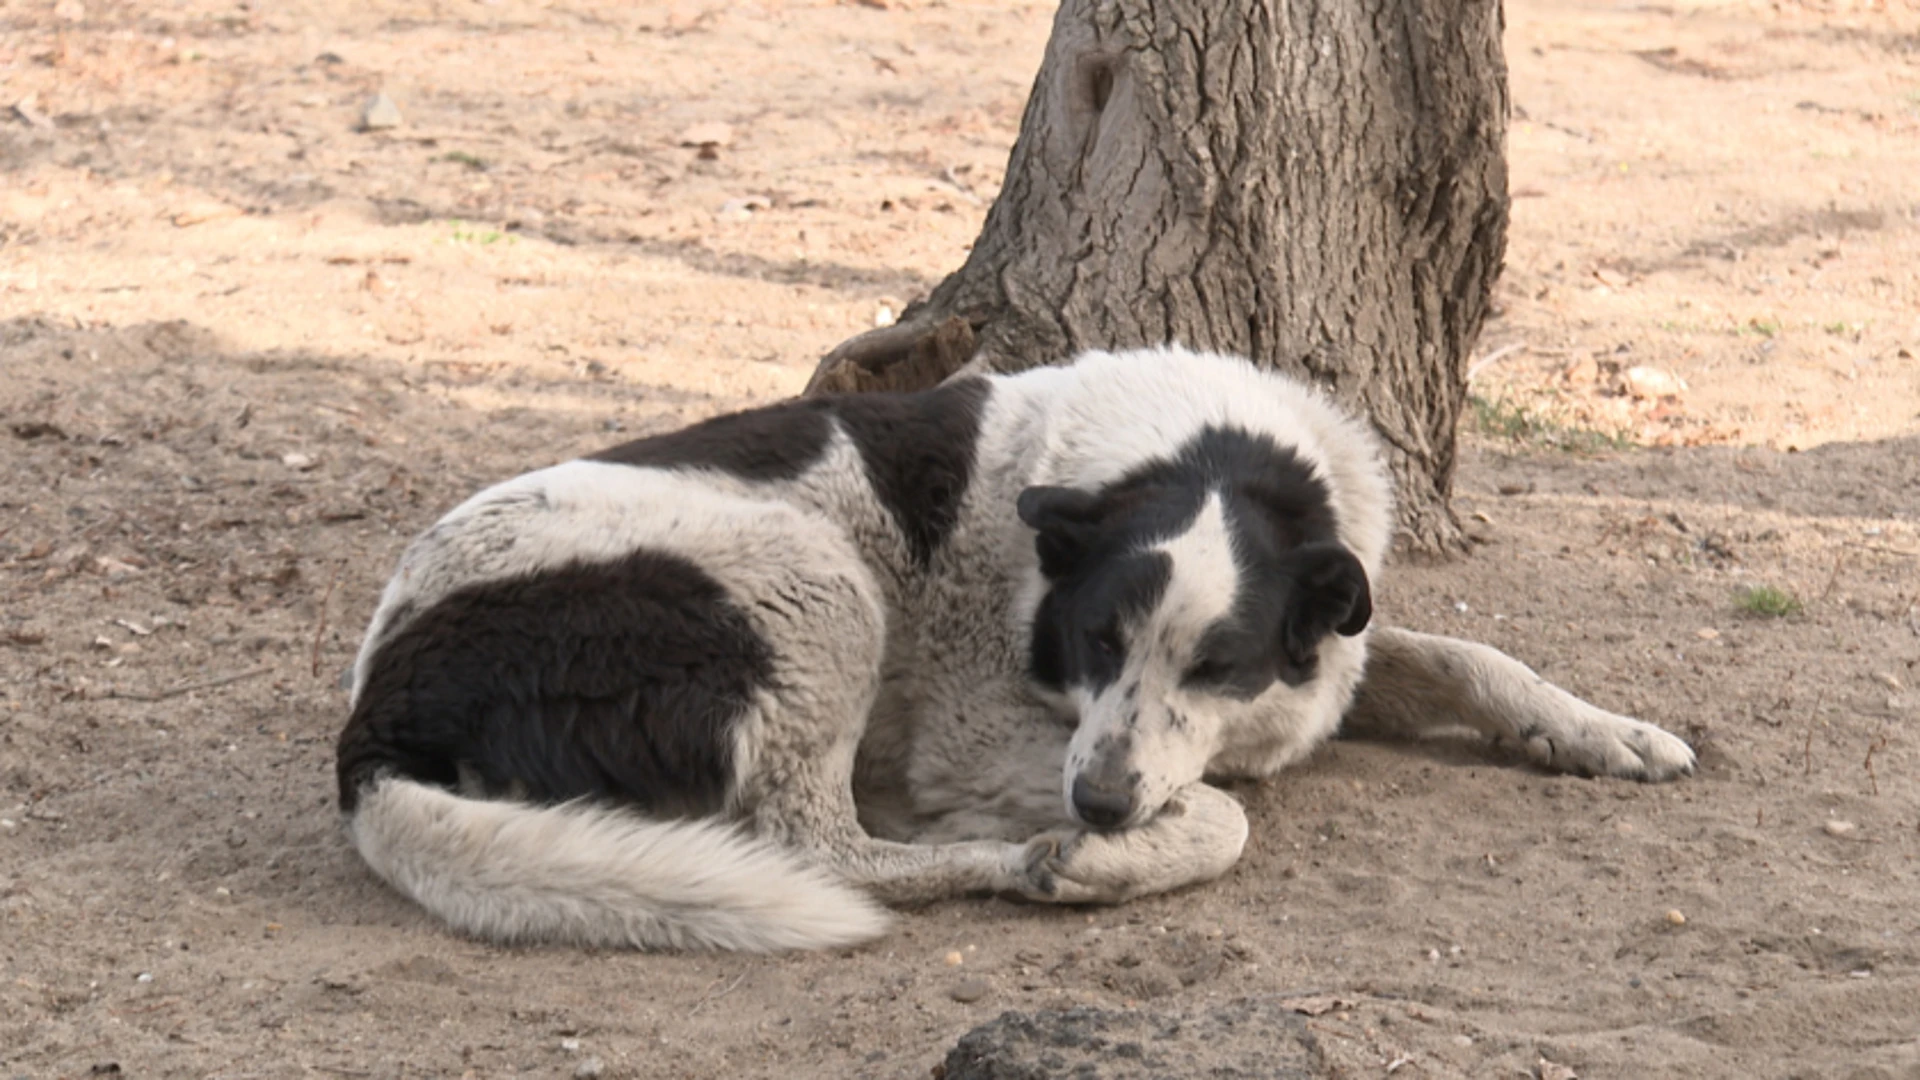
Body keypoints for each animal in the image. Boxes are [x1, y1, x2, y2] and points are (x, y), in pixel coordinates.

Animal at [334, 343, 1697, 949]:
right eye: (1096, 637)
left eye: (1218, 664)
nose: (1093, 809)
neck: (1205, 446)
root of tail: (374, 719)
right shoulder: (996, 738)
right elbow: (1223, 815)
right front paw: (1100, 856)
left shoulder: (1324, 656)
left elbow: (1470, 657)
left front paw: (1610, 733)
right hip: (814, 586)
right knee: (824, 850)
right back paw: (1009, 860)